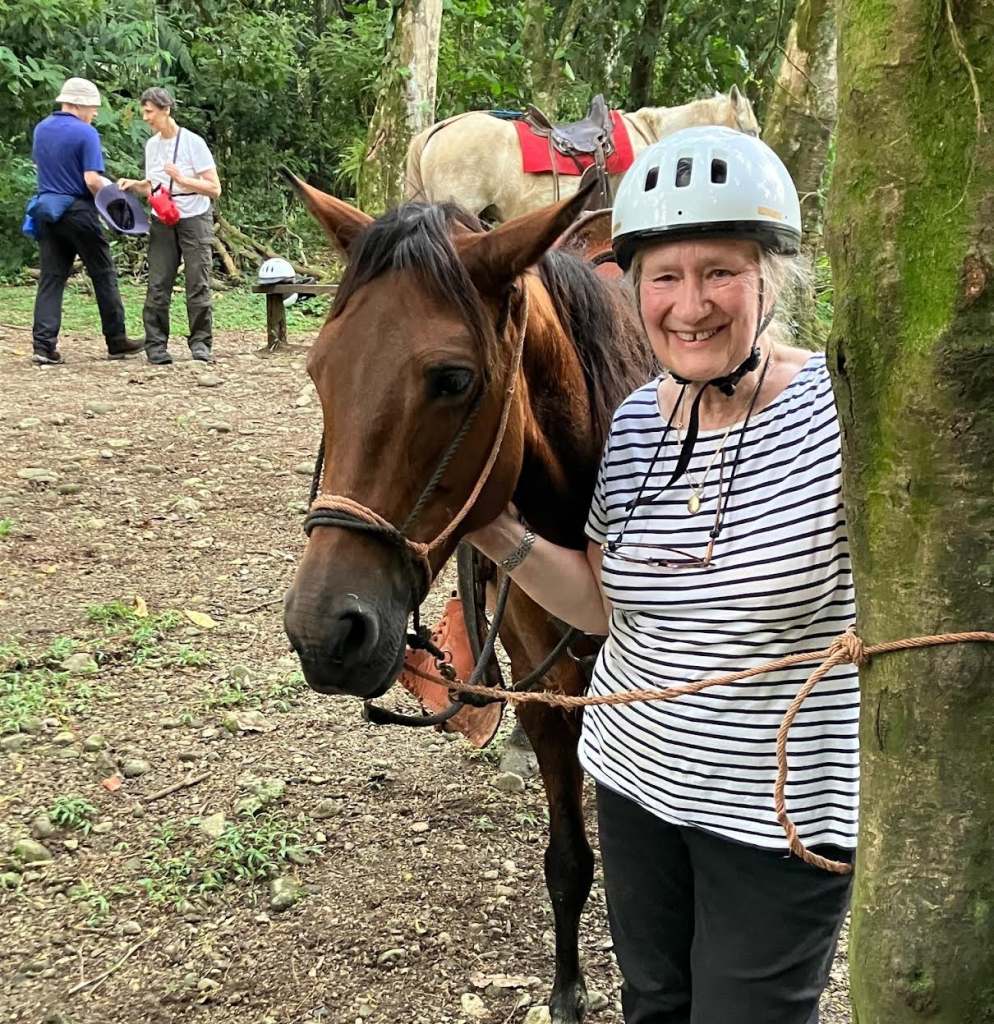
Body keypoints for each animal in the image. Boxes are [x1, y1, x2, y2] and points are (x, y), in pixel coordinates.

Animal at [281, 178, 656, 1023]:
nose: (324, 632)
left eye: (452, 380)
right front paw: (567, 992)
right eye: (320, 371)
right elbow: (568, 860)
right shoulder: (548, 693)